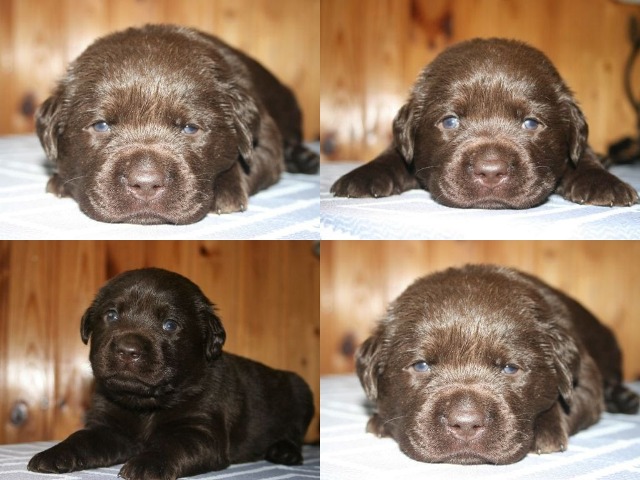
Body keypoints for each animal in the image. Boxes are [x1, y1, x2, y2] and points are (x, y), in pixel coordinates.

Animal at [28, 268, 314, 479]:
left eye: (170, 325)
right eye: (111, 315)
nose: (127, 350)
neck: (146, 406)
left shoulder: (201, 432)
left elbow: (174, 445)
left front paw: (148, 463)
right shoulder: (108, 428)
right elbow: (82, 438)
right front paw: (54, 454)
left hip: (301, 392)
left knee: (296, 434)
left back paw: (284, 452)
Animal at [37, 24, 318, 224]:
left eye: (190, 128)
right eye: (101, 125)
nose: (145, 184)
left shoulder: (266, 137)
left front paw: (225, 190)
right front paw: (61, 180)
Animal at [331, 38, 638, 209]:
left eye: (531, 123)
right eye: (450, 121)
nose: (490, 171)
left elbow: (583, 155)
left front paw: (601, 182)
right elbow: (393, 153)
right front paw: (364, 176)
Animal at [356, 265, 638, 465]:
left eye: (510, 368)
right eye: (421, 365)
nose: (465, 424)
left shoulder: (586, 378)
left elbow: (573, 403)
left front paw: (545, 430)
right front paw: (381, 420)